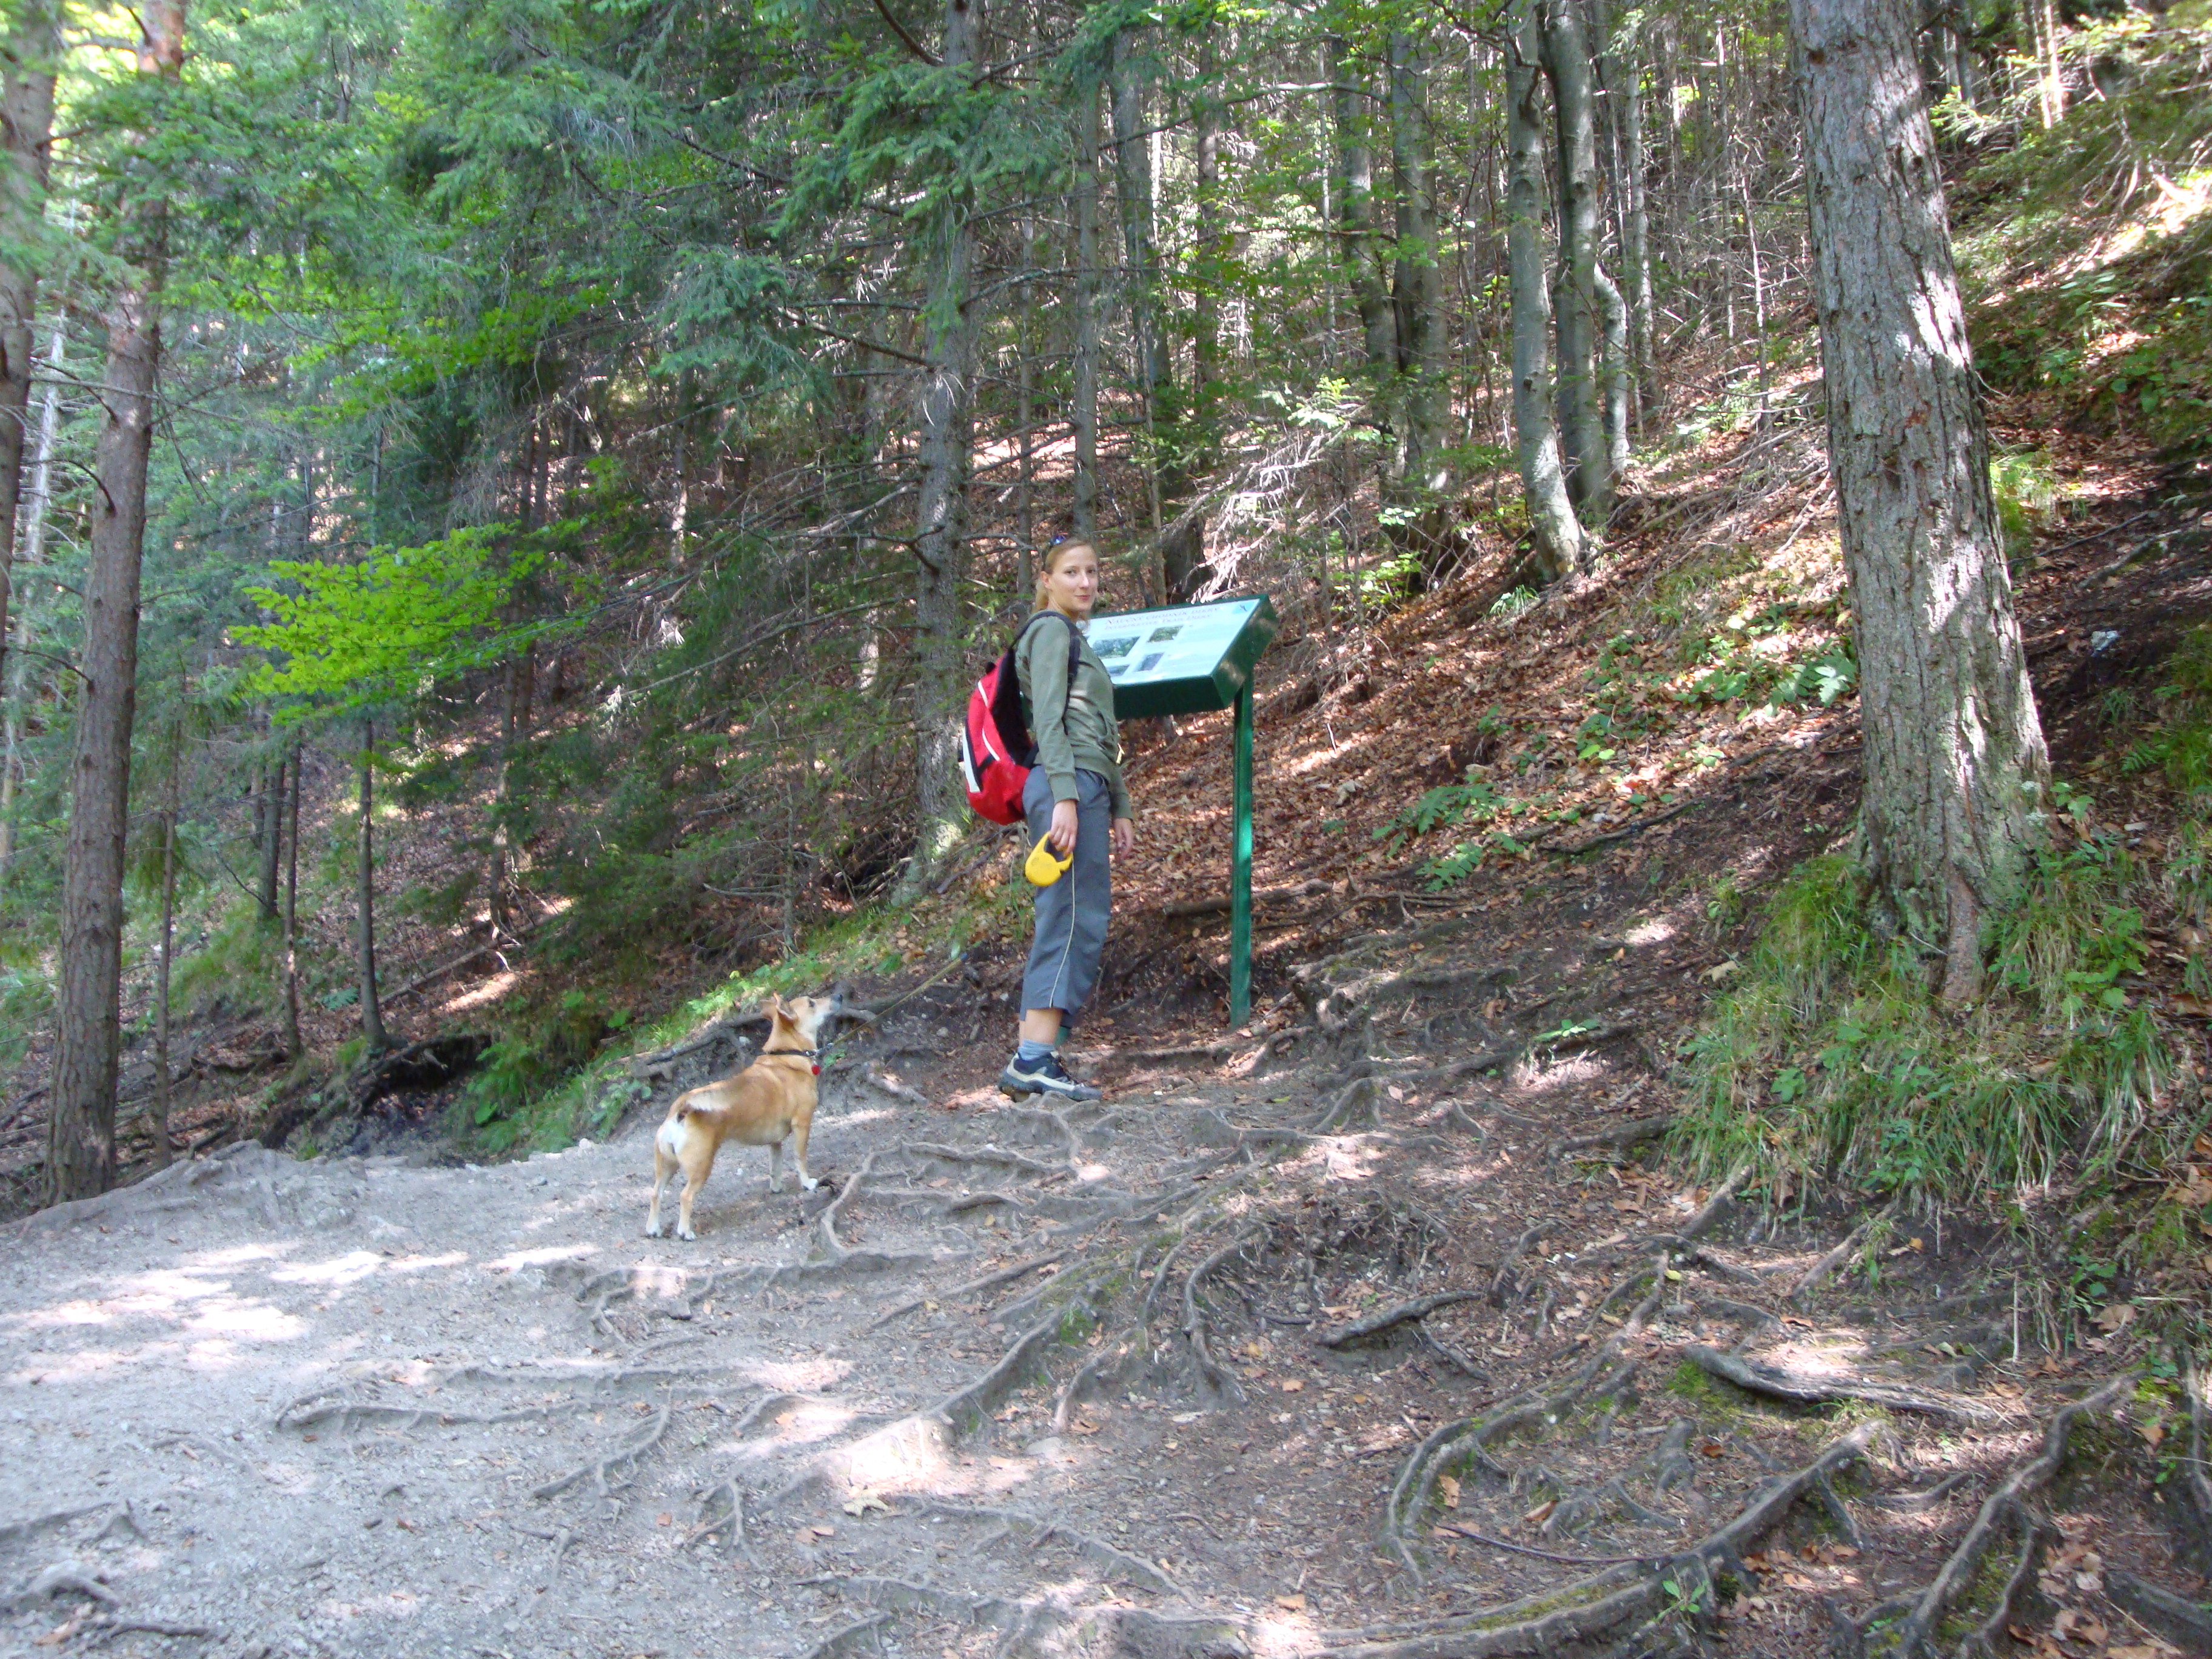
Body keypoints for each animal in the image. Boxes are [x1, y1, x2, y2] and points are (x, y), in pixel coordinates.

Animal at [646, 991, 842, 1241]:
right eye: (812, 1003)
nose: (839, 995)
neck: (787, 1054)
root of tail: (679, 1109)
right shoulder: (803, 1125)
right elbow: (801, 1158)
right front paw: (807, 1183)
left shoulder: (775, 1142)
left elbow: (775, 1167)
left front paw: (776, 1188)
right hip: (701, 1167)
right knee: (685, 1196)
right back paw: (685, 1232)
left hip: (666, 1167)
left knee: (655, 1193)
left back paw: (653, 1228)